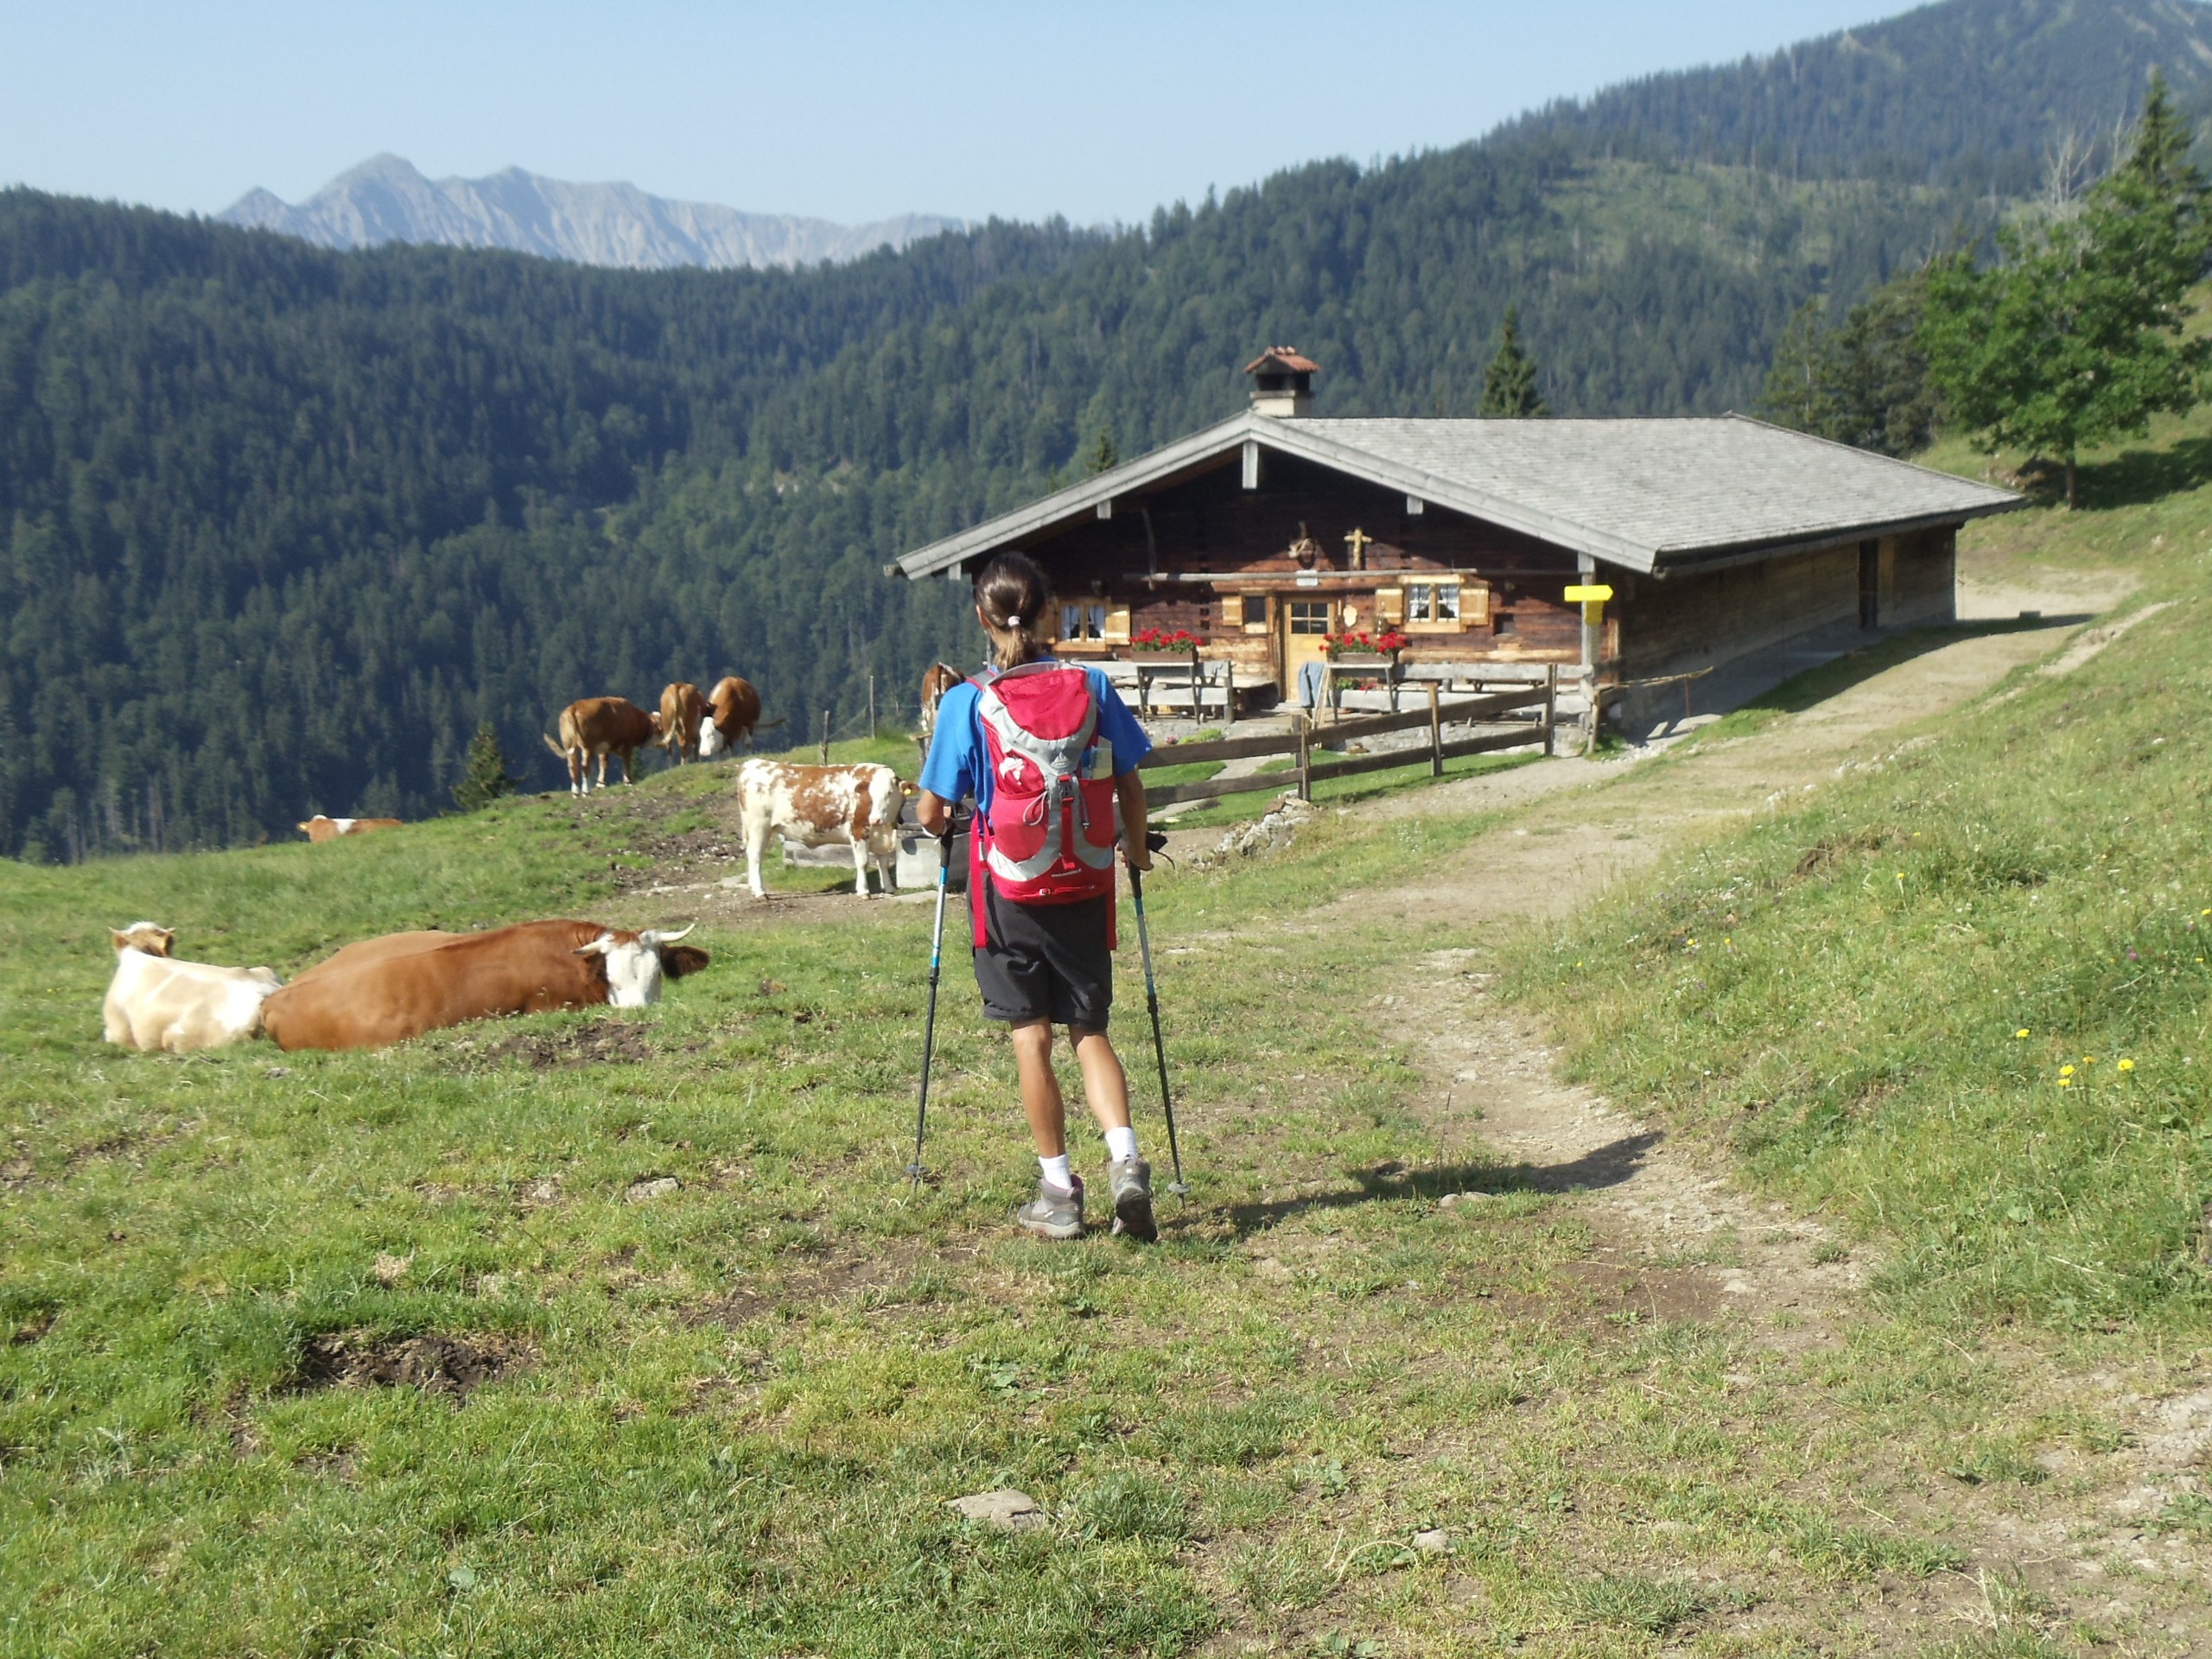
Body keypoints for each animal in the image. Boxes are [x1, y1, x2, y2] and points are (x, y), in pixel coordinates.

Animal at [542, 694, 654, 800]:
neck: (633, 717)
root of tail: (574, 706)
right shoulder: (627, 745)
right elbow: (626, 763)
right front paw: (628, 782)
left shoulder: (604, 747)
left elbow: (603, 763)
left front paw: (600, 784)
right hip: (587, 747)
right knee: (585, 767)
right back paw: (586, 791)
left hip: (568, 744)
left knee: (572, 766)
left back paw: (575, 793)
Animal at [734, 765, 906, 902]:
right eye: (871, 793)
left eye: (890, 792)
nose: (875, 819)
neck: (886, 829)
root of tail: (754, 763)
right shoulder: (858, 831)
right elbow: (863, 863)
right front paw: (864, 891)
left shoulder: (881, 838)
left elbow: (883, 863)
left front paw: (889, 888)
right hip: (758, 826)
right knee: (755, 856)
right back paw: (760, 892)